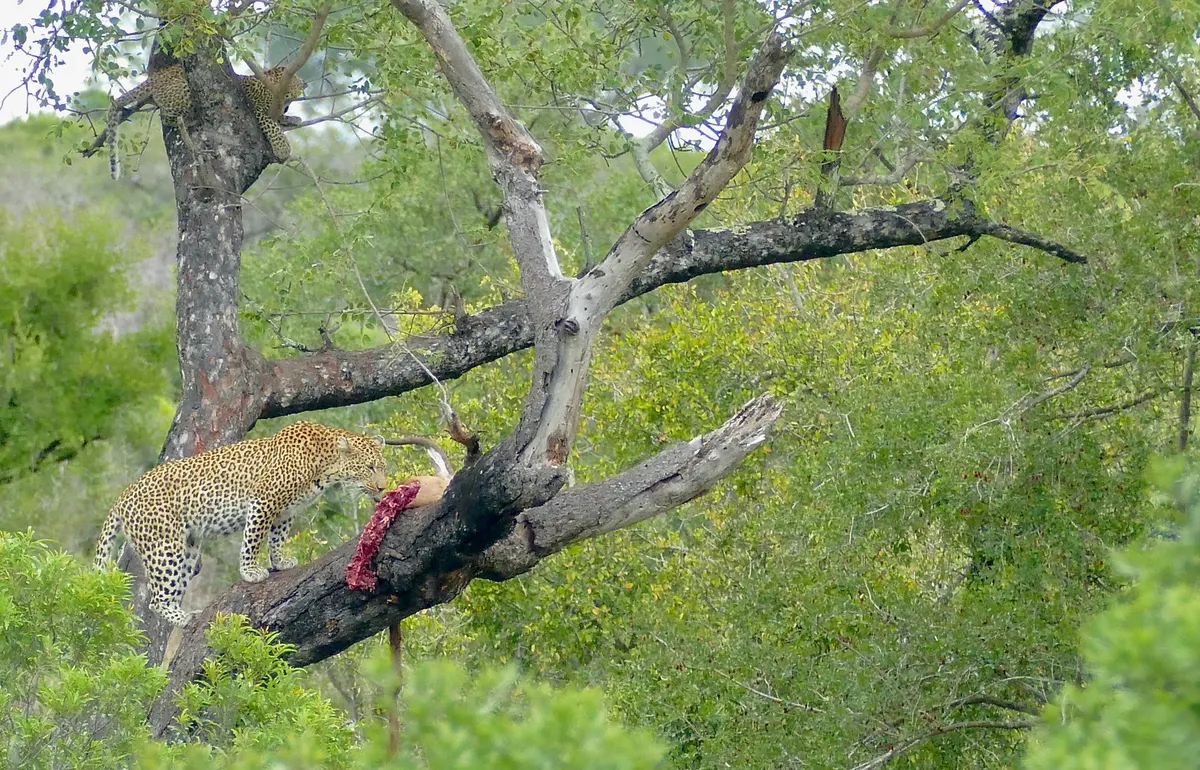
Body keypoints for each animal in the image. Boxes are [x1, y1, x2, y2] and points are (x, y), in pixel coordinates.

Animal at [94, 421, 387, 627]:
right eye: (370, 467)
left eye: (382, 467)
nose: (383, 487)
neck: (325, 463)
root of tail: (123, 495)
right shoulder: (263, 501)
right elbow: (253, 539)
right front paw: (250, 572)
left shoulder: (285, 511)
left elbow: (277, 537)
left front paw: (280, 561)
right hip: (164, 547)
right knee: (156, 599)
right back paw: (183, 618)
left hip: (188, 548)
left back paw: (187, 615)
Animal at [105, 64, 305, 180]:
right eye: (296, 80)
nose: (305, 84)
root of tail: (155, 77)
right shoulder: (258, 108)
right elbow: (272, 125)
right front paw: (282, 148)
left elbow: (279, 120)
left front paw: (293, 119)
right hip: (184, 91)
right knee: (166, 115)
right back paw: (188, 117)